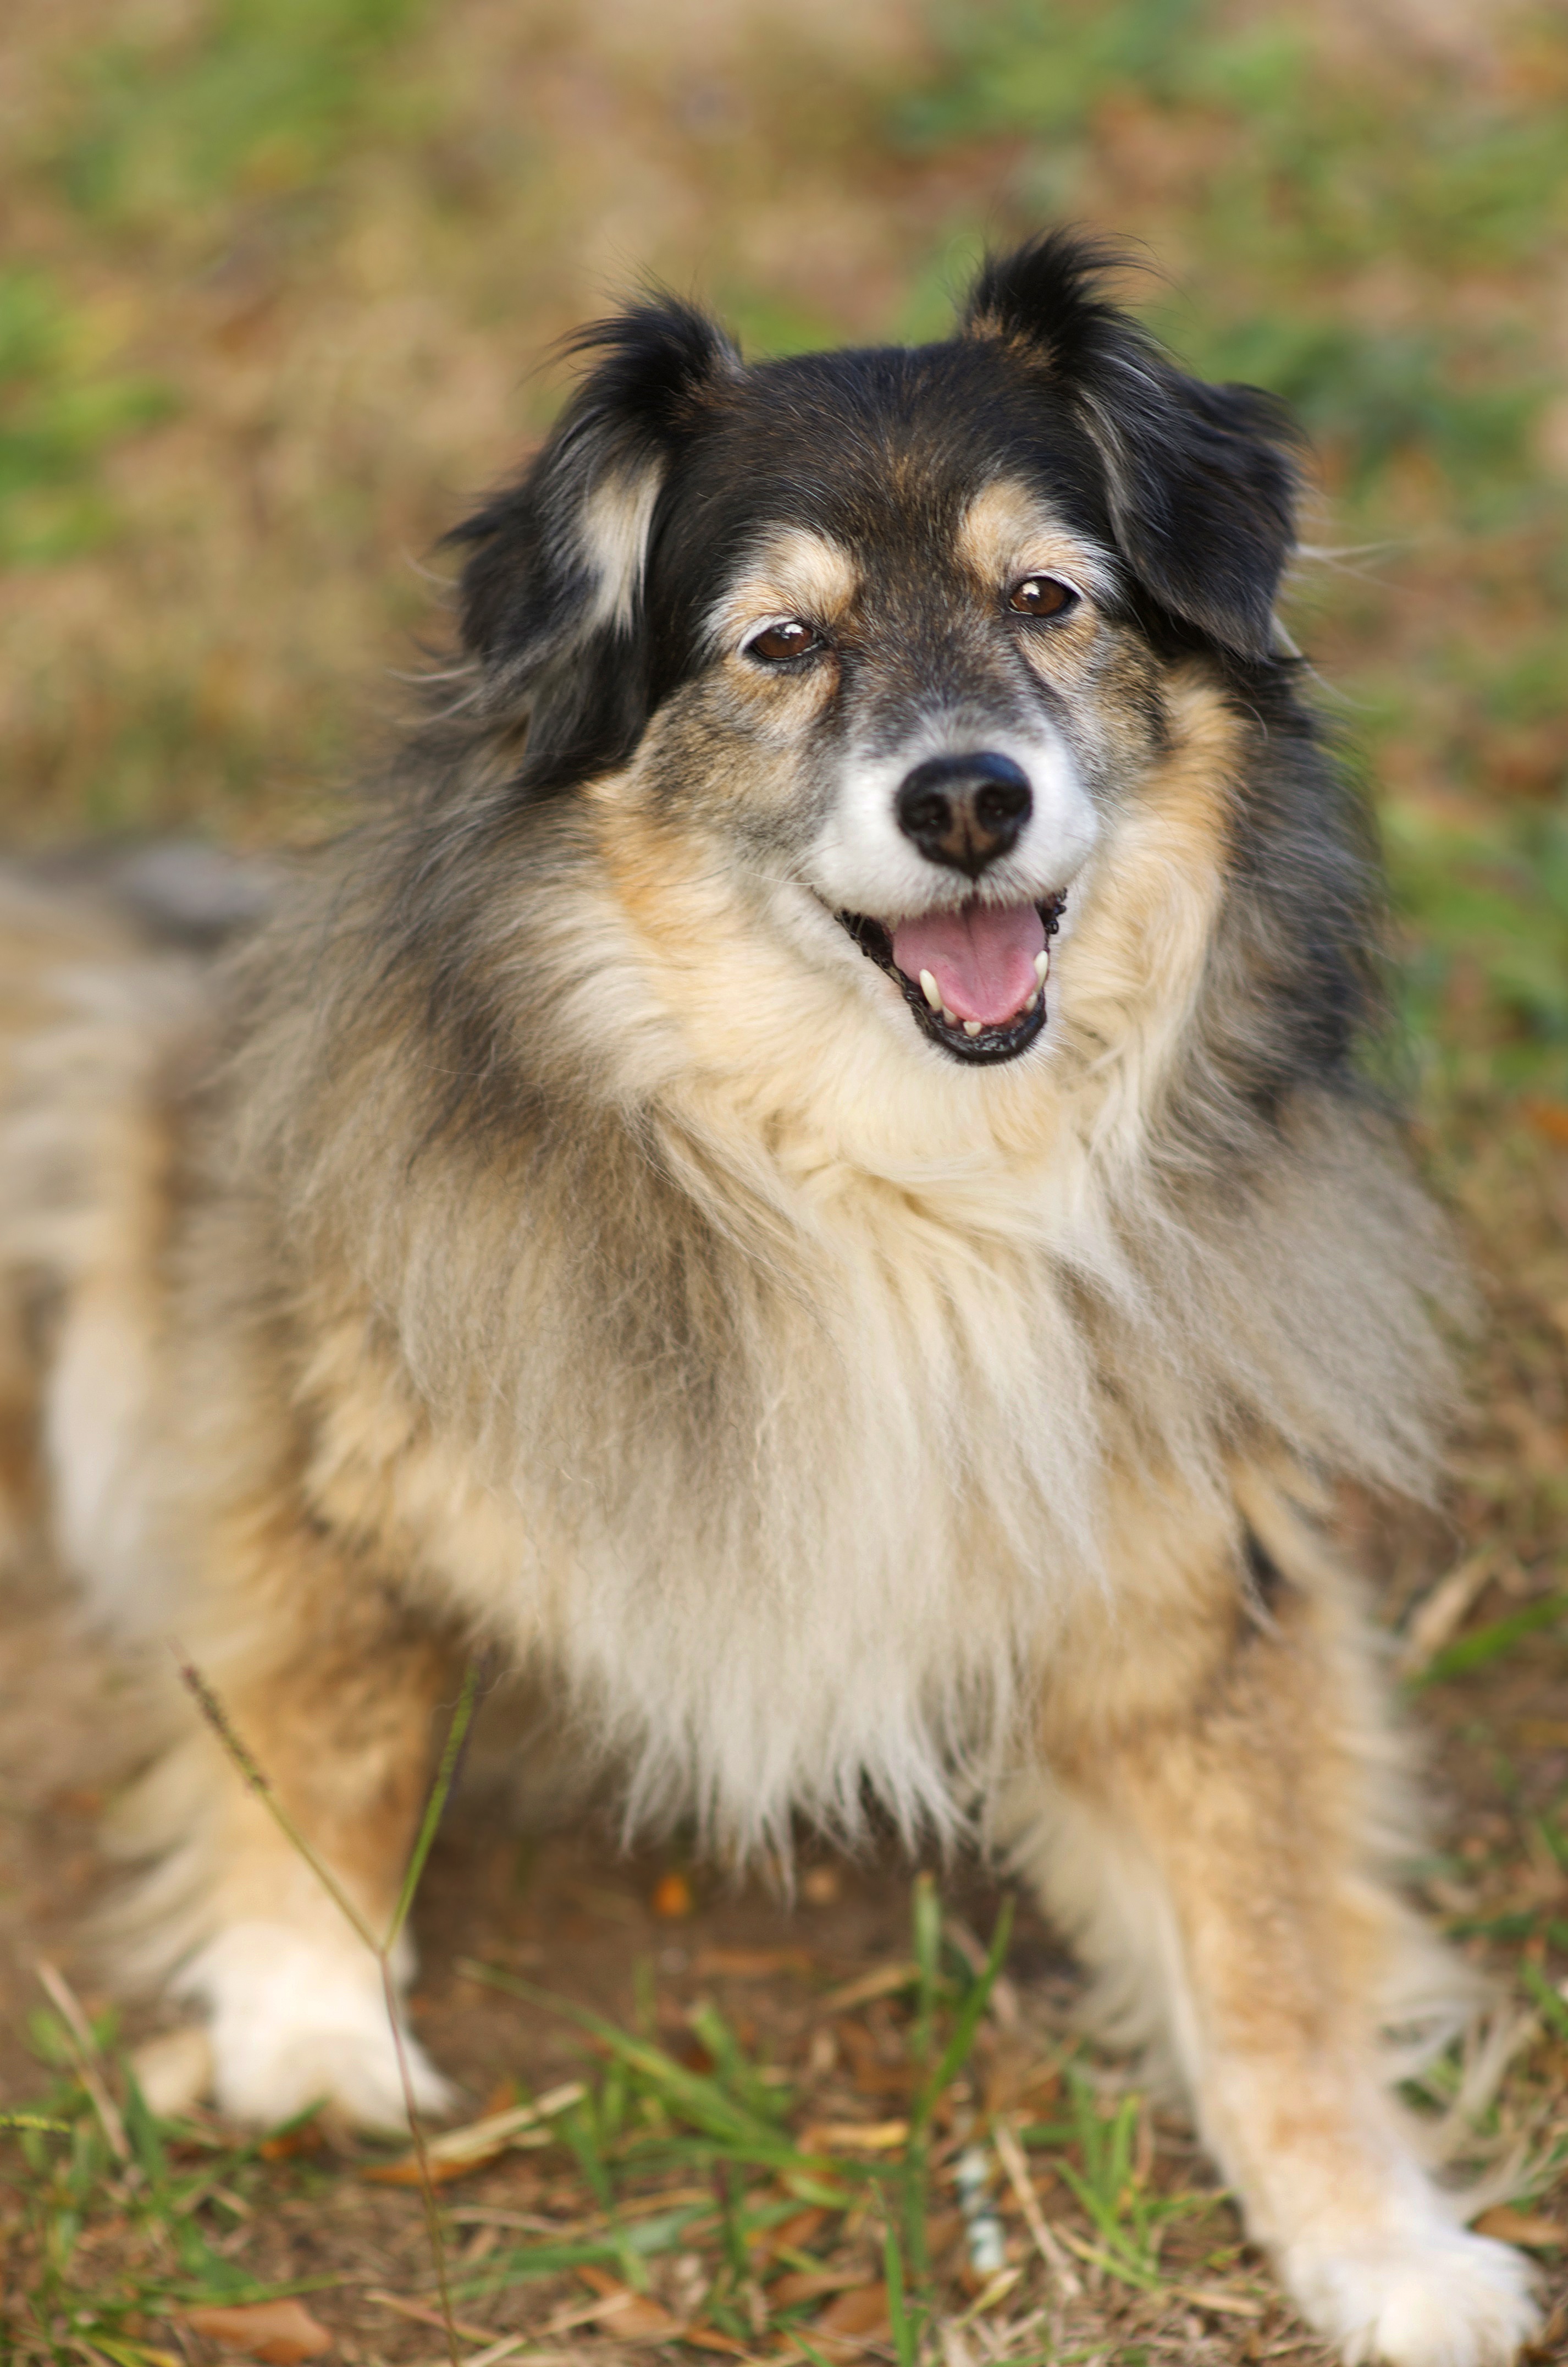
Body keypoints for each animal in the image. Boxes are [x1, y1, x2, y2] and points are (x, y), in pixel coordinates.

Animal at [0, 226, 1542, 2367]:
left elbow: (1268, 1949)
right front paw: (306, 2021)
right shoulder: (340, 1429)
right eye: (780, 645)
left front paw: (1379, 2243)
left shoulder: (1183, 1579)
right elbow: (327, 1712)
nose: (968, 800)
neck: (892, 1173)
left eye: (1045, 598)